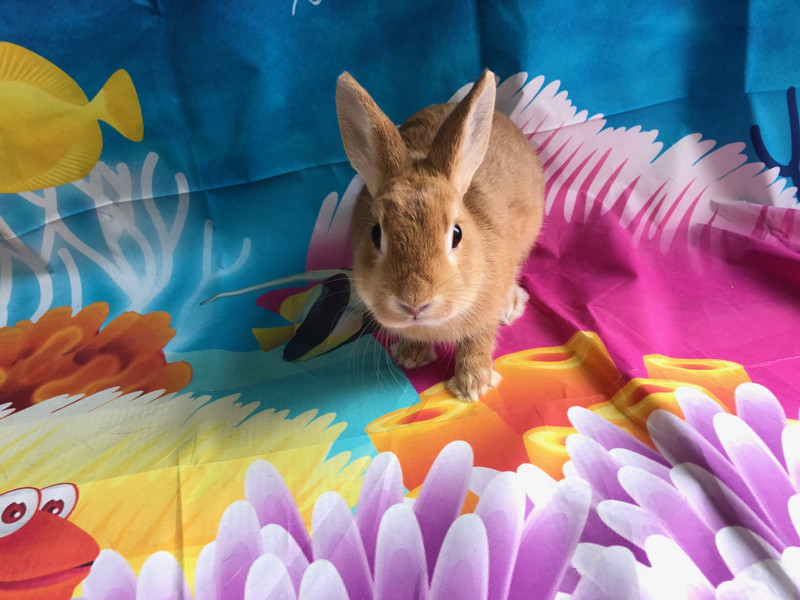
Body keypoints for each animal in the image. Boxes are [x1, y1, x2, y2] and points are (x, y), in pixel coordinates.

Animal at [335, 69, 544, 401]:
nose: (414, 303)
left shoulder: (484, 312)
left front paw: (473, 386)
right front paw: (410, 356)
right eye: (375, 234)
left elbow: (479, 339)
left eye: (456, 234)